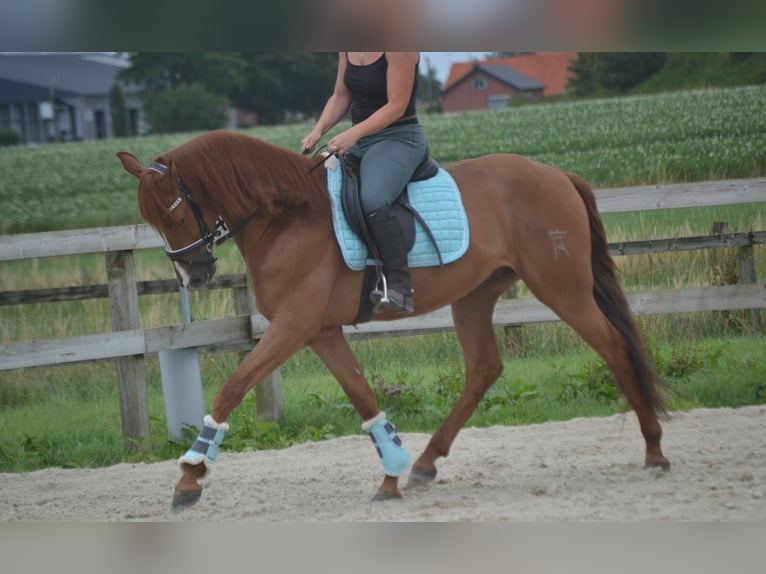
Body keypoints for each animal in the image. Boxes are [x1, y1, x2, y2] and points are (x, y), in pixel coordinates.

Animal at [115, 132, 672, 512]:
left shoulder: (293, 327)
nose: (193, 274)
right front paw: (391, 473)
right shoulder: (320, 332)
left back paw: (654, 451)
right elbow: (363, 397)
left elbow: (233, 386)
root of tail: (557, 174)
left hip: (561, 288)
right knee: (485, 369)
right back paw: (424, 463)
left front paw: (189, 477)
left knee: (613, 347)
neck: (287, 217)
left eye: (175, 214)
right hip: (475, 297)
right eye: (155, 221)